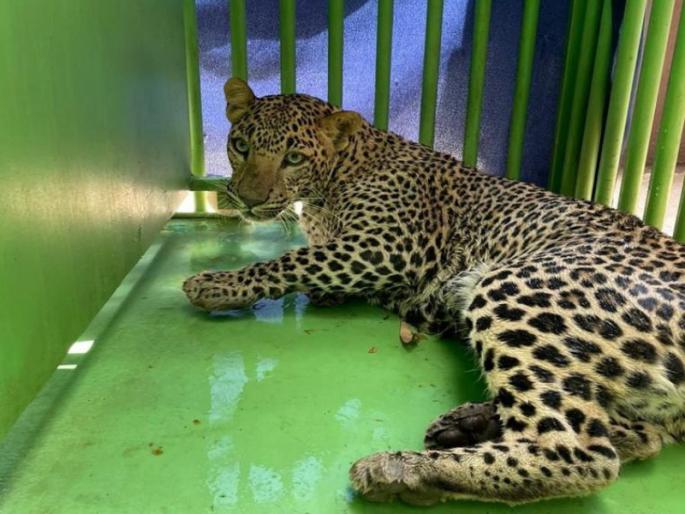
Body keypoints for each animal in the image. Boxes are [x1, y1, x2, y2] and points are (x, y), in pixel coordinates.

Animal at [183, 77, 685, 506]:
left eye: (293, 158)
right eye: (241, 146)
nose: (247, 200)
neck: (339, 174)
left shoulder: (387, 246)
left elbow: (294, 260)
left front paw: (219, 283)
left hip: (514, 286)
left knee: (576, 450)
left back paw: (403, 470)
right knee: (636, 434)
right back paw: (467, 424)